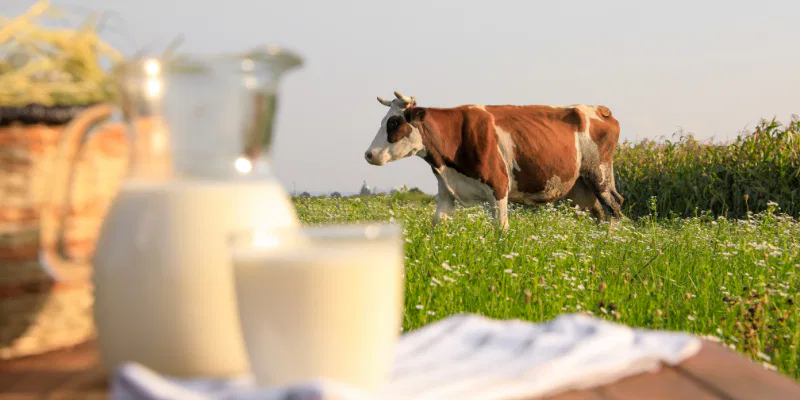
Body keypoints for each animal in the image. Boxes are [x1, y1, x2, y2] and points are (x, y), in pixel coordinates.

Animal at [364, 91, 625, 231]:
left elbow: (501, 230)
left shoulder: (499, 187)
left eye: (394, 122)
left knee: (614, 207)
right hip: (581, 186)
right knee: (599, 213)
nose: (369, 154)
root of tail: (599, 109)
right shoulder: (446, 191)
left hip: (599, 174)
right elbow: (437, 225)